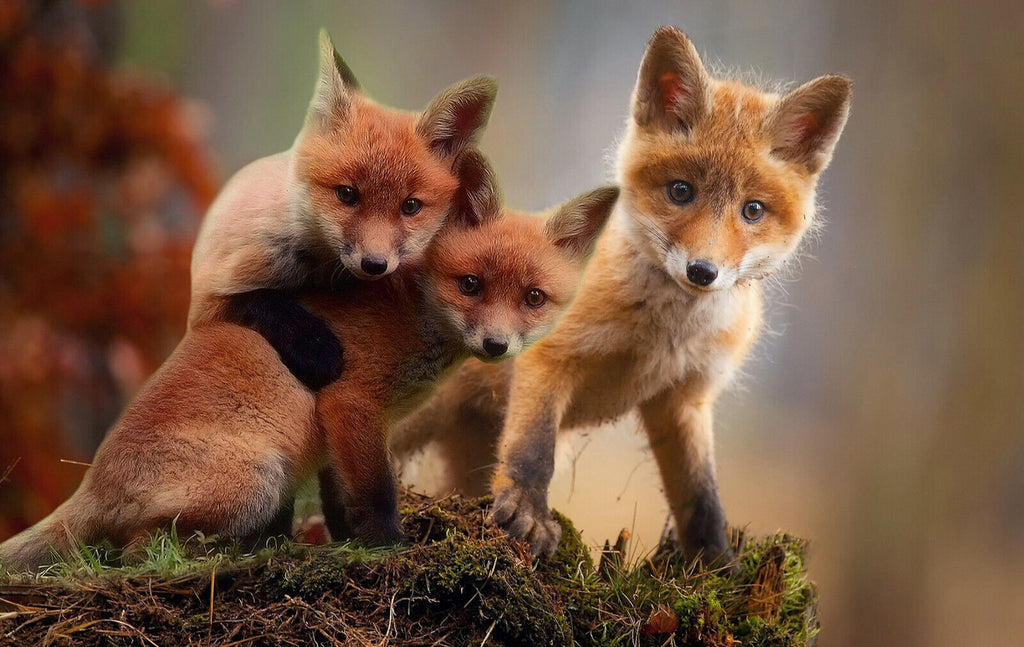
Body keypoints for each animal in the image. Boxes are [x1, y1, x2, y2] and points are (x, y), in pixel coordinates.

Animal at [0, 155, 619, 572]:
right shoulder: (352, 402)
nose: (495, 346)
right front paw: (389, 549)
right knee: (132, 553)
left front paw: (347, 543)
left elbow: (341, 501)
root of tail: (92, 483)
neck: (413, 312)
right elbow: (375, 495)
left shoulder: (336, 433)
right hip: (258, 481)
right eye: (470, 285)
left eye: (533, 298)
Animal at [188, 29, 497, 336]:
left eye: (411, 206)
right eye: (347, 194)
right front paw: (314, 339)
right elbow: (263, 303)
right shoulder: (208, 299)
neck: (315, 271)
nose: (374, 264)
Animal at [390, 26, 851, 561]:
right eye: (680, 191)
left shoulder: (684, 400)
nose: (702, 271)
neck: (662, 337)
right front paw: (528, 513)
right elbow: (532, 450)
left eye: (752, 209)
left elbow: (702, 499)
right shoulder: (549, 357)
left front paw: (717, 565)